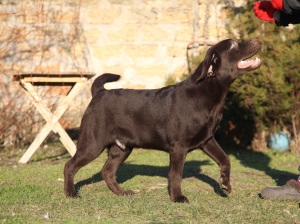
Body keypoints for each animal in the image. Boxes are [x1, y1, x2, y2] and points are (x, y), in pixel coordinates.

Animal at [64, 38, 262, 203]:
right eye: (233, 45)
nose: (257, 39)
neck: (209, 95)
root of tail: (100, 92)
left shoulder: (207, 139)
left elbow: (225, 159)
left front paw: (225, 185)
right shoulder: (179, 147)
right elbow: (175, 174)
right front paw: (178, 197)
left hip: (122, 148)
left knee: (107, 171)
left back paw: (122, 193)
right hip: (92, 143)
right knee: (70, 166)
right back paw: (71, 194)